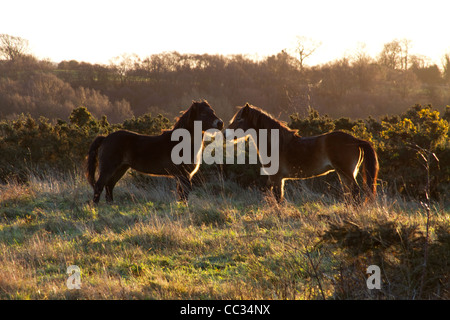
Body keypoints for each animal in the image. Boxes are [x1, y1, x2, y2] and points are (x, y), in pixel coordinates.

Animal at [85, 100, 223, 204]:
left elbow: (182, 194)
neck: (182, 142)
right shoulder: (183, 175)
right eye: (203, 113)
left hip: (121, 168)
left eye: (213, 111)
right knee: (99, 186)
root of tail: (105, 138)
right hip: (108, 168)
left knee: (109, 186)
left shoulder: (183, 175)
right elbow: (184, 193)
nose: (220, 123)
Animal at [227, 104, 378, 202]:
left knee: (355, 192)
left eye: (239, 119)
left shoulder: (277, 178)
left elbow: (278, 198)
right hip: (344, 173)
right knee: (349, 193)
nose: (225, 134)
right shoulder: (275, 179)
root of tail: (355, 140)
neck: (277, 144)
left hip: (346, 172)